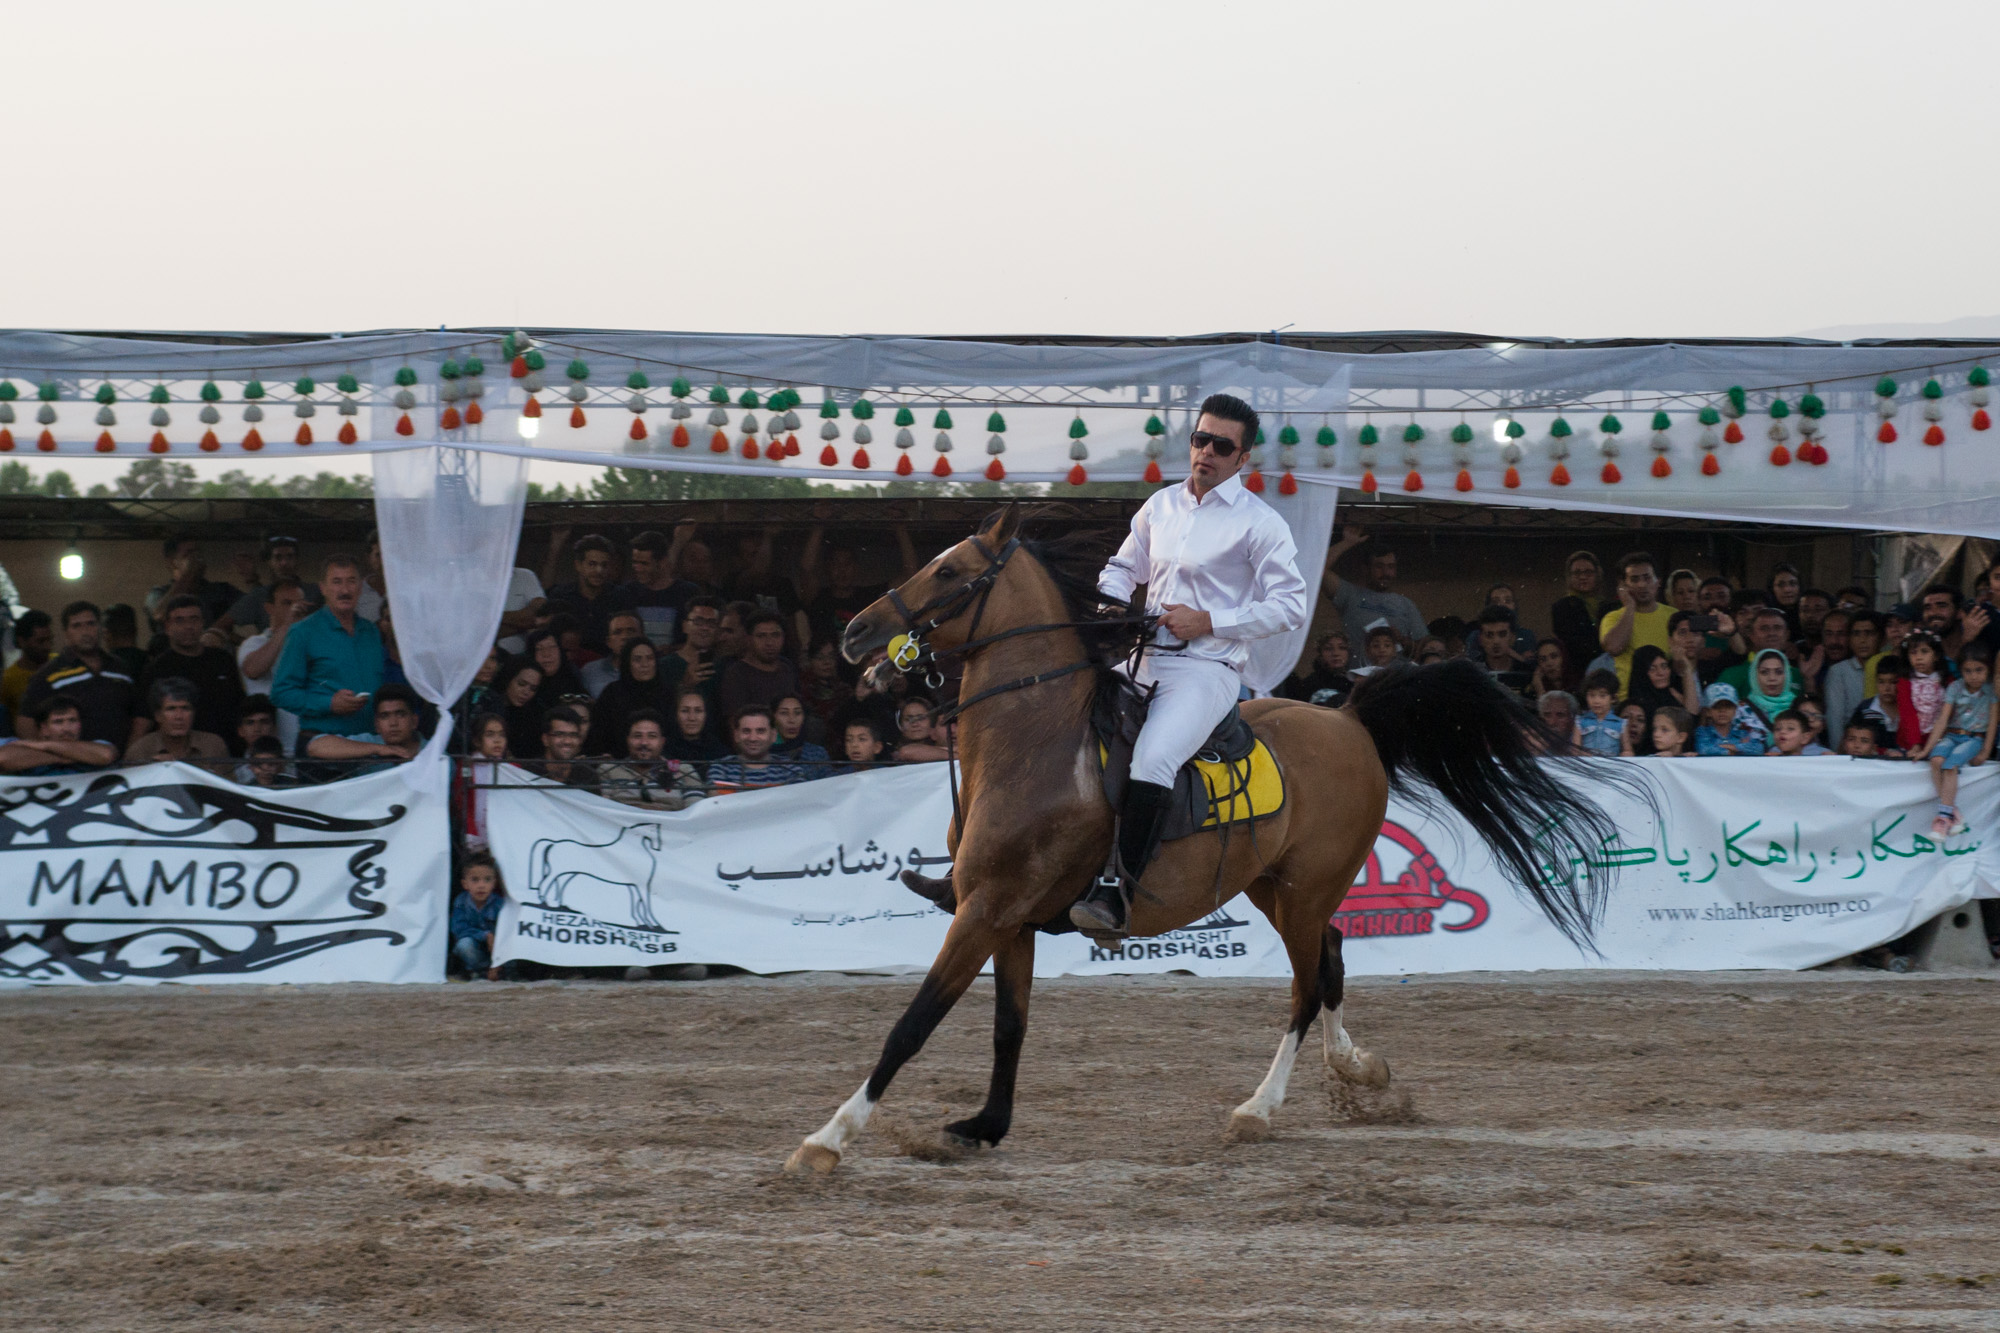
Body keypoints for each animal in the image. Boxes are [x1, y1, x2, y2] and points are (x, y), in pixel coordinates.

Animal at [780, 504, 1624, 1168]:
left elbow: (913, 1023)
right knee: (1333, 961)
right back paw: (1357, 1069)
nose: (855, 632)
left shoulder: (986, 908)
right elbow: (1008, 1028)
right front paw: (984, 1125)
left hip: (1306, 888)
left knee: (1307, 984)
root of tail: (1350, 718)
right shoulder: (1010, 918)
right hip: (1276, 888)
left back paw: (1260, 1108)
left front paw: (827, 1138)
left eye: (949, 569)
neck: (1035, 743)